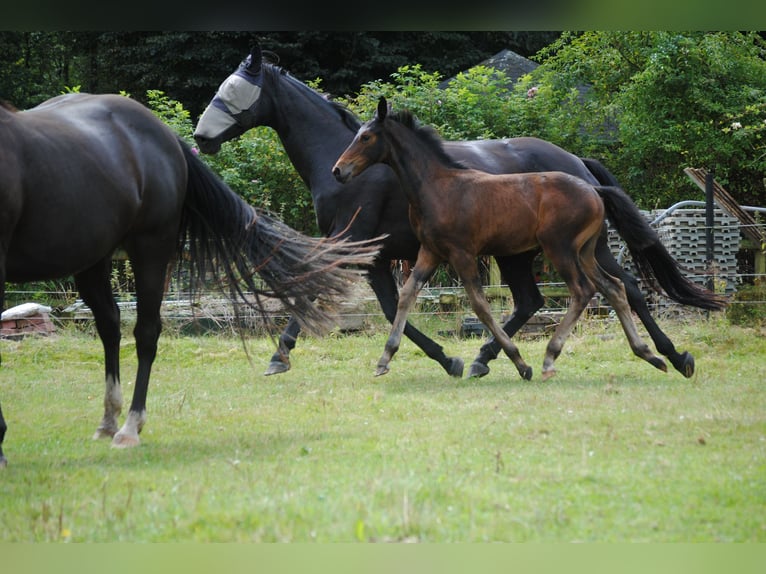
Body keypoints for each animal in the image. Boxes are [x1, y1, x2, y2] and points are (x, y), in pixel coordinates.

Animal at [0, 91, 380, 468]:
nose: (204, 136)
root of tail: (166, 135)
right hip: (94, 257)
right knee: (110, 325)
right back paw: (109, 420)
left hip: (149, 247)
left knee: (144, 332)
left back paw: (129, 427)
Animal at [332, 97, 668, 380]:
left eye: (366, 137)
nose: (338, 170)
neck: (438, 187)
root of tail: (594, 189)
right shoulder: (430, 251)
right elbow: (406, 296)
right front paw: (384, 360)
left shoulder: (462, 253)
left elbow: (480, 306)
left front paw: (518, 362)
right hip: (584, 252)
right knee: (615, 287)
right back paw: (650, 354)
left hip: (560, 250)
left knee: (583, 291)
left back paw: (550, 357)